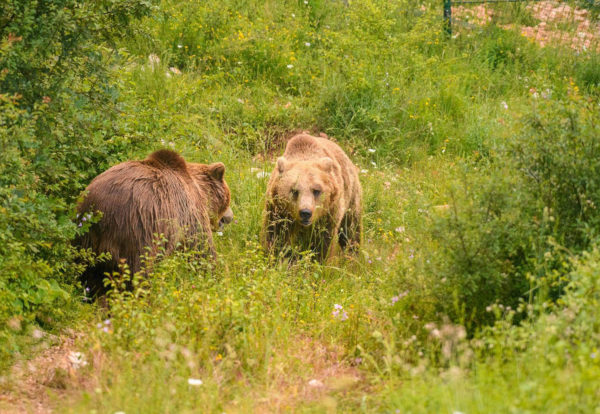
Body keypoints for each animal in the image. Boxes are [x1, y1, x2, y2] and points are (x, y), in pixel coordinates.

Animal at [75, 150, 234, 296]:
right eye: (228, 198)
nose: (230, 217)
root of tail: (98, 211)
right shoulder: (190, 214)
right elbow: (201, 249)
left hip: (84, 238)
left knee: (88, 275)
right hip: (137, 230)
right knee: (137, 270)